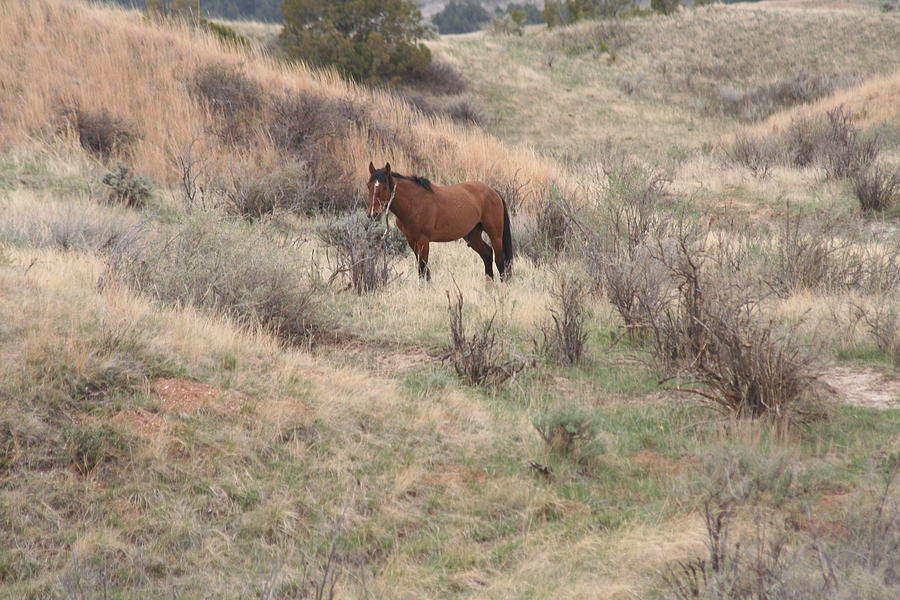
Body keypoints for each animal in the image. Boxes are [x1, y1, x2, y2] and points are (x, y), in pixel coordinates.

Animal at [364, 161, 510, 280]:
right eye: (368, 185)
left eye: (384, 187)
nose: (372, 214)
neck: (414, 203)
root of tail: (493, 191)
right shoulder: (411, 240)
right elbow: (422, 270)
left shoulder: (423, 240)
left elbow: (423, 269)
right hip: (473, 235)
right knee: (487, 254)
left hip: (495, 234)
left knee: (500, 260)